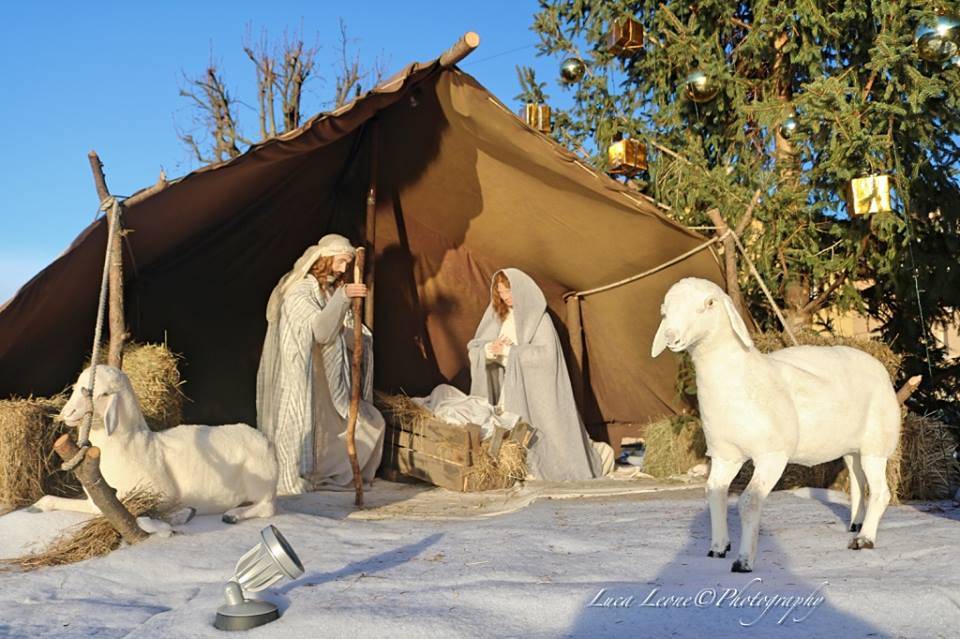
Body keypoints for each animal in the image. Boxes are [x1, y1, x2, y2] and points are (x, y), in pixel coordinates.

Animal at [30, 364, 278, 524]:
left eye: (101, 394)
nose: (66, 413)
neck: (127, 444)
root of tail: (264, 439)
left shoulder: (156, 493)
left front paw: (183, 513)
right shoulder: (96, 497)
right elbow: (57, 500)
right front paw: (36, 507)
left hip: (260, 483)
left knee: (268, 507)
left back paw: (233, 515)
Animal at [652, 280, 900, 576]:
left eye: (710, 303)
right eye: (664, 310)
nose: (671, 336)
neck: (736, 375)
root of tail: (877, 364)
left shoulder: (771, 455)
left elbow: (749, 502)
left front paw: (743, 561)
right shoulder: (725, 455)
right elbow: (714, 494)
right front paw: (718, 547)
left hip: (877, 444)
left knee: (880, 492)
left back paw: (864, 539)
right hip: (852, 448)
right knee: (859, 484)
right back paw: (855, 525)